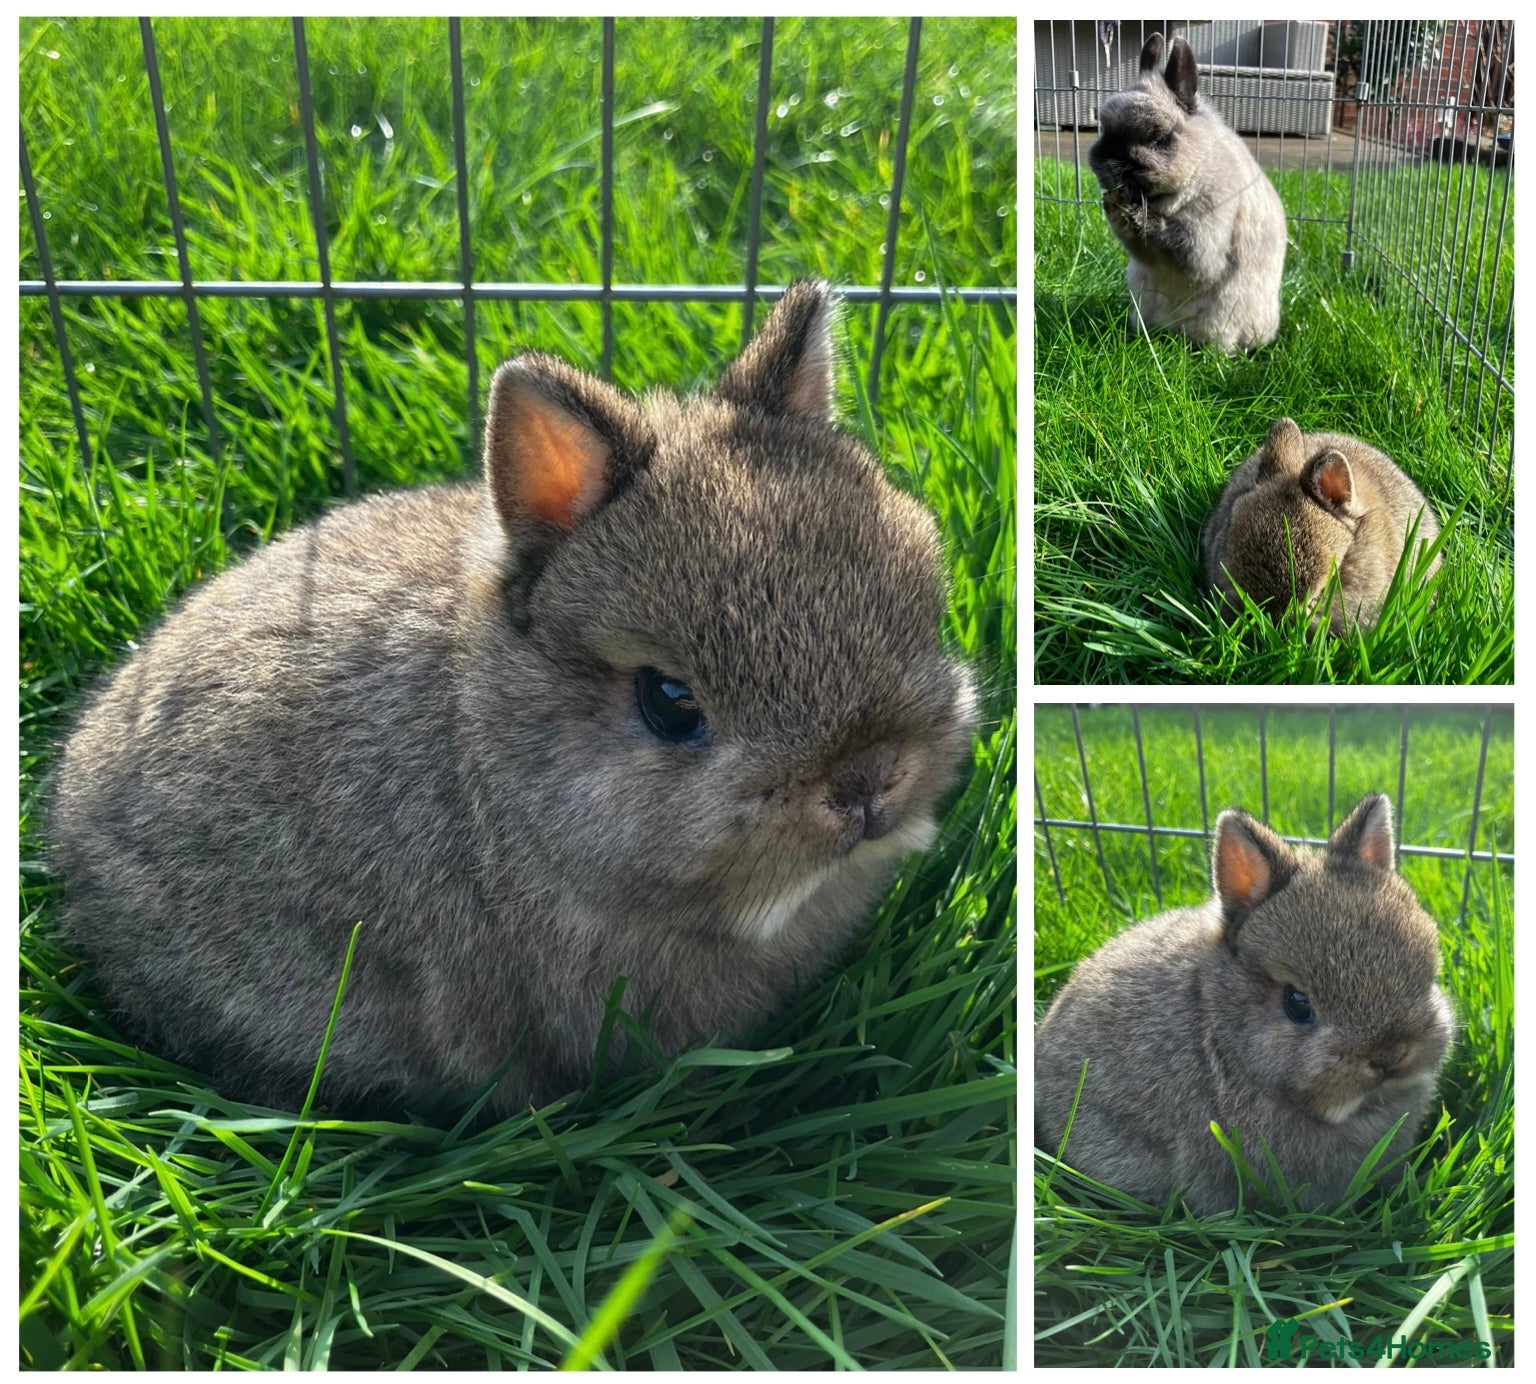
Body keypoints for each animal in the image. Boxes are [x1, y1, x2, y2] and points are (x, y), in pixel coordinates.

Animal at [1089, 32, 1288, 352]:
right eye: (1103, 128)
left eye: (1158, 139)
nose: (1108, 161)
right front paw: (1112, 204)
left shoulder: (1201, 238)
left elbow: (1181, 250)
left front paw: (1130, 213)